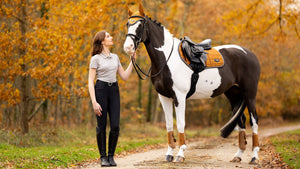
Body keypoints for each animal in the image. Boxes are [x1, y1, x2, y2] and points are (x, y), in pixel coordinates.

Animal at [123, 3, 260, 164]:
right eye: (128, 24)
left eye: (140, 24)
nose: (128, 48)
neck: (167, 59)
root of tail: (250, 54)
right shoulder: (164, 97)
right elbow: (169, 124)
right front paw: (169, 154)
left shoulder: (179, 97)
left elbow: (181, 124)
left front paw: (180, 155)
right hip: (233, 94)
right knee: (241, 120)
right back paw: (238, 155)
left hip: (250, 94)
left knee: (254, 120)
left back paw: (254, 157)